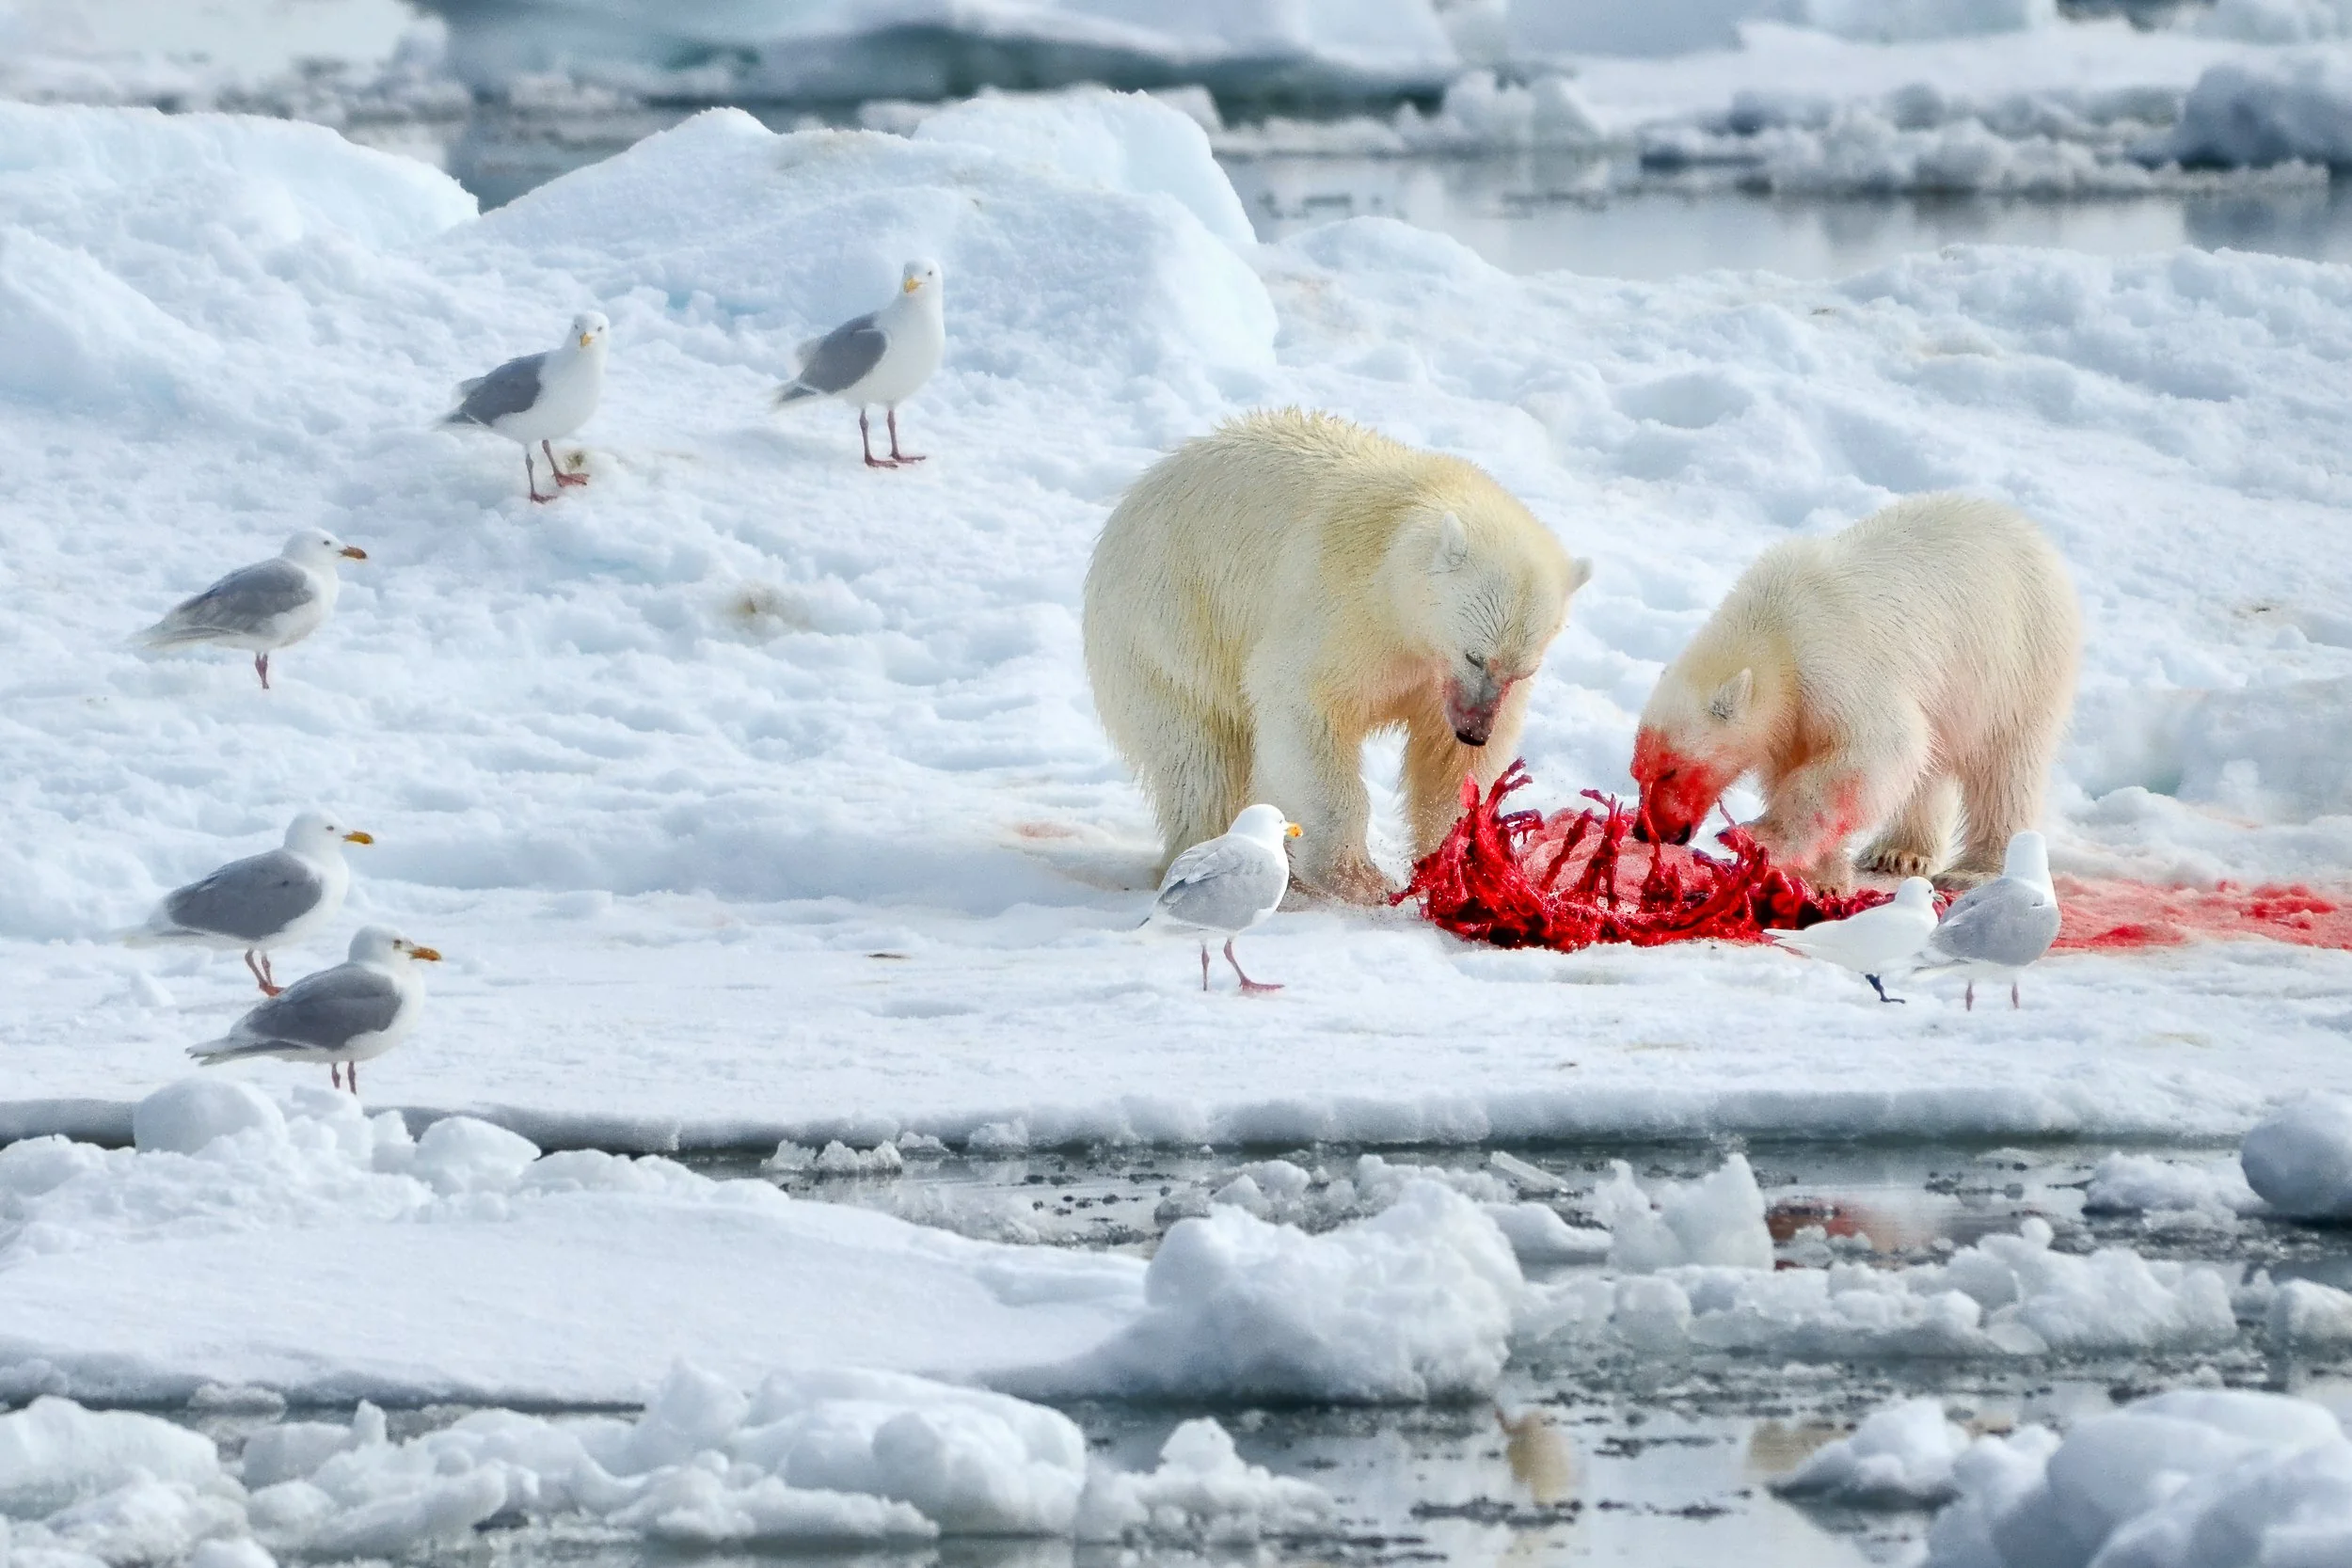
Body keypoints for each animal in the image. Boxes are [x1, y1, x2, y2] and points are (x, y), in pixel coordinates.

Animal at [1083, 408, 1591, 901]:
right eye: (1474, 656)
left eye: (1522, 671)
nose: (1474, 732)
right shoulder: (1346, 612)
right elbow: (1303, 705)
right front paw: (1357, 878)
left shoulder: (1436, 679)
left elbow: (1447, 764)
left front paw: (1463, 864)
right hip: (1169, 629)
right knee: (1199, 760)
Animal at [1631, 492, 2080, 892]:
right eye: (1639, 771)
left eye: (1671, 769)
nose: (1645, 830)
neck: (1774, 631)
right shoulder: (1793, 718)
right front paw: (1822, 876)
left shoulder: (1835, 665)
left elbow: (1877, 750)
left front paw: (1757, 836)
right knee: (1933, 764)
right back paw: (1897, 852)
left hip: (2022, 660)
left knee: (2006, 767)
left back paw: (1976, 869)